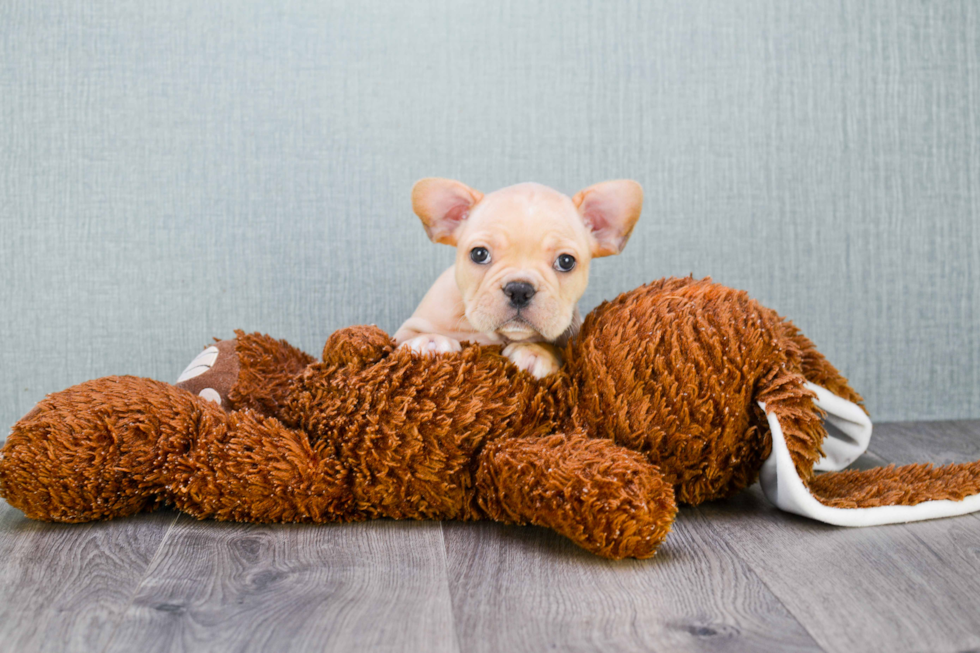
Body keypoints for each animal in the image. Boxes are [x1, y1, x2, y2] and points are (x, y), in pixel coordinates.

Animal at [392, 178, 644, 376]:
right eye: (479, 254)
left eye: (566, 261)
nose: (520, 290)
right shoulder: (407, 328)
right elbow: (409, 337)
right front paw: (429, 342)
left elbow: (552, 347)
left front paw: (535, 352)